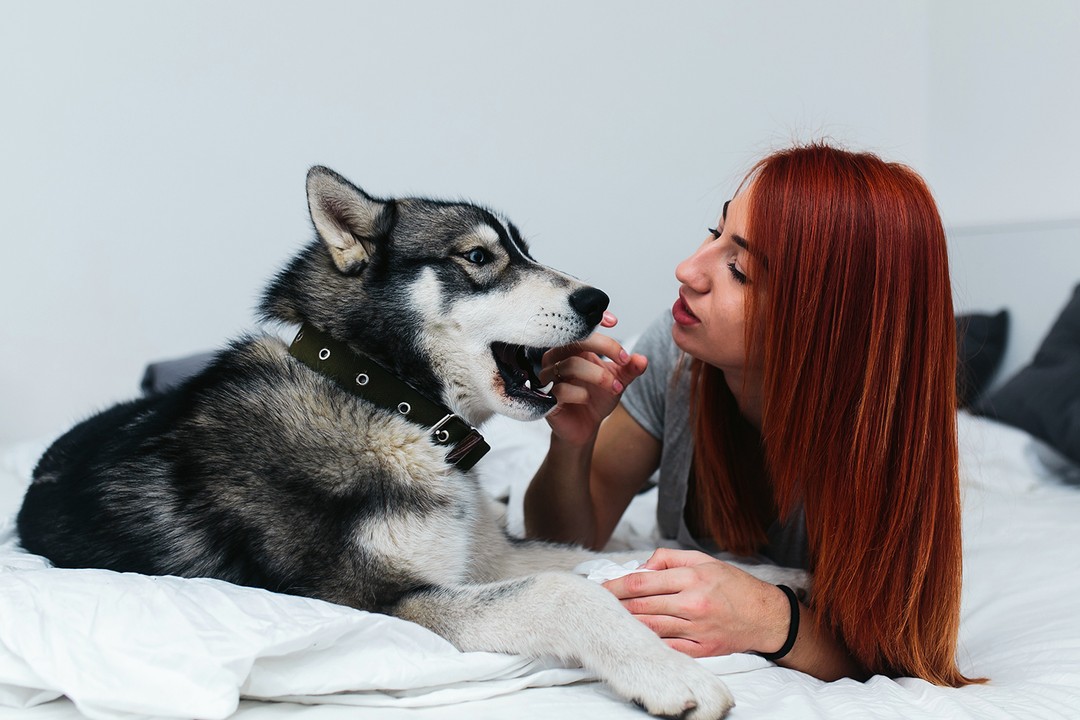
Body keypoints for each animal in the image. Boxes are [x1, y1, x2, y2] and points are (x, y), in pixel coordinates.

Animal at [16, 167, 803, 720]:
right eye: (480, 256)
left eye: (524, 249)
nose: (596, 299)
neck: (386, 400)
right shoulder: (384, 600)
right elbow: (565, 591)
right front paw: (671, 673)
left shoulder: (485, 558)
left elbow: (613, 559)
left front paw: (772, 580)